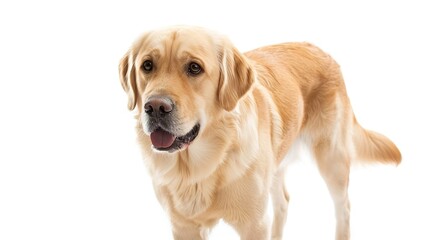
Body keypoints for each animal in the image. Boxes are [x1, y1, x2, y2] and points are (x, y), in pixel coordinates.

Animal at [118, 26, 400, 240]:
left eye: (194, 68)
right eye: (147, 66)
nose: (155, 107)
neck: (201, 167)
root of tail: (320, 50)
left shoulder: (253, 224)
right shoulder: (184, 227)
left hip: (332, 158)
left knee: (344, 207)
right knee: (283, 202)